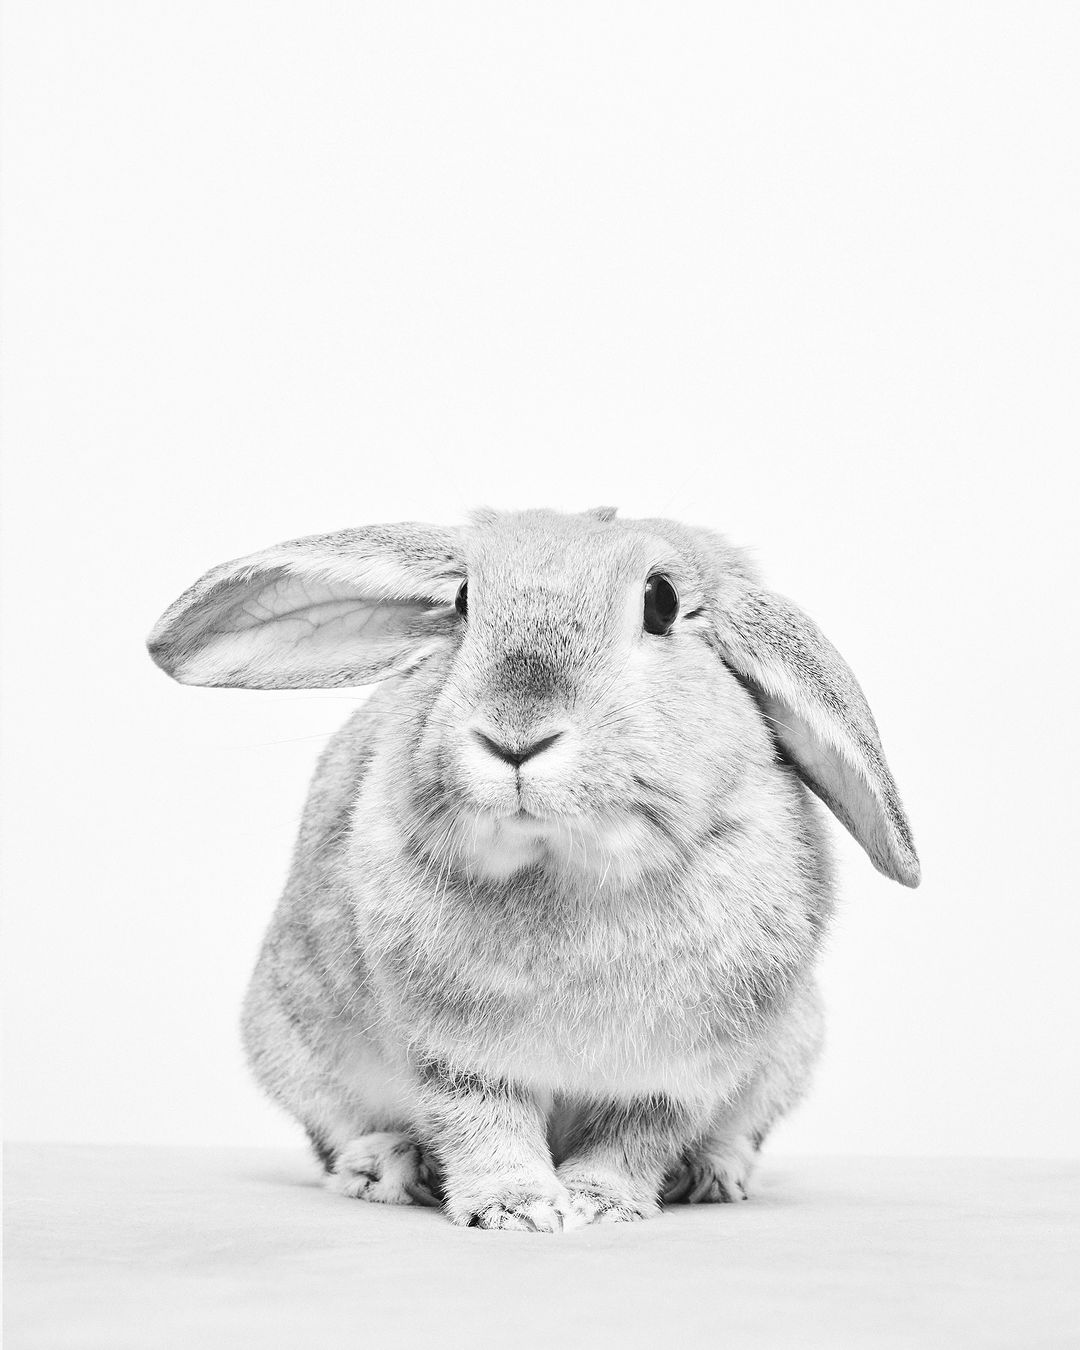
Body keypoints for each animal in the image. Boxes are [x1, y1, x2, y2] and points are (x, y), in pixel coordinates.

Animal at [147, 506, 919, 1231]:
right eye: (463, 600)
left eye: (661, 602)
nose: (514, 737)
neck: (567, 865)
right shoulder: (456, 1055)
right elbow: (485, 1127)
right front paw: (516, 1209)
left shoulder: (681, 1075)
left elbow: (632, 1140)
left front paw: (600, 1205)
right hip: (291, 1040)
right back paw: (388, 1167)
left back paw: (709, 1174)